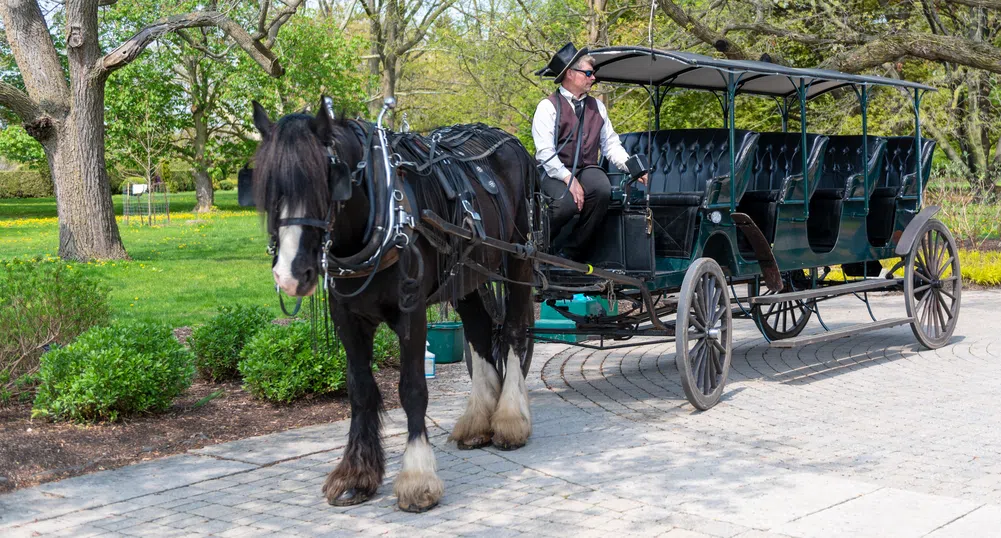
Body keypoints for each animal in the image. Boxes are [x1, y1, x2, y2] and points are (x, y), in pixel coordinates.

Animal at [254, 97, 540, 510]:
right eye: (268, 185)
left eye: (328, 179)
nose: (290, 274)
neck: (379, 214)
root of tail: (510, 141)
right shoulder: (346, 316)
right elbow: (359, 389)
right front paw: (356, 474)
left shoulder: (412, 311)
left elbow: (412, 389)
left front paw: (418, 478)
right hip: (467, 272)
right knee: (481, 333)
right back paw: (477, 422)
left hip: (520, 258)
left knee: (515, 331)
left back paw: (510, 420)